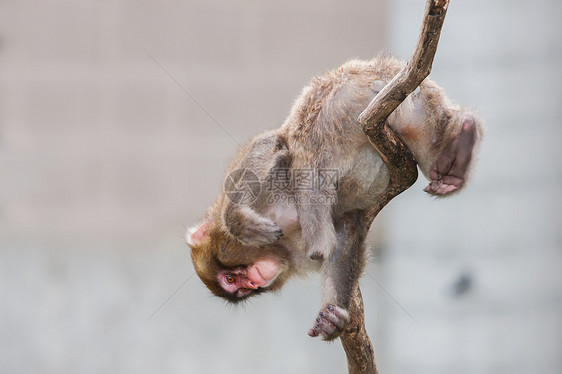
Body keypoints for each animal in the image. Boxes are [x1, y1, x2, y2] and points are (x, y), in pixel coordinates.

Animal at [185, 57, 482, 340]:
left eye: (231, 278)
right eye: (238, 287)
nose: (253, 282)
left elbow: (272, 145)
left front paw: (238, 220)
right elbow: (346, 232)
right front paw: (334, 321)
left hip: (340, 104)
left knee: (306, 153)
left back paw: (317, 237)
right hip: (410, 109)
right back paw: (458, 153)